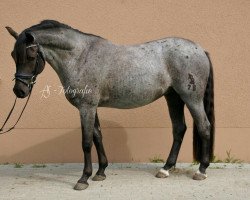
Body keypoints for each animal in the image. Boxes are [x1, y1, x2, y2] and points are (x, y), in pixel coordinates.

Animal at [4, 20, 214, 191]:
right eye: (13, 54)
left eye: (30, 55)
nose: (19, 91)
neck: (80, 57)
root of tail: (199, 50)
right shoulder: (92, 107)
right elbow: (98, 136)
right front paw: (100, 172)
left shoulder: (86, 107)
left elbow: (86, 142)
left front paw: (83, 178)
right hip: (173, 97)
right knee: (179, 129)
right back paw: (165, 169)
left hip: (191, 98)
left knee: (204, 127)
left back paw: (201, 170)